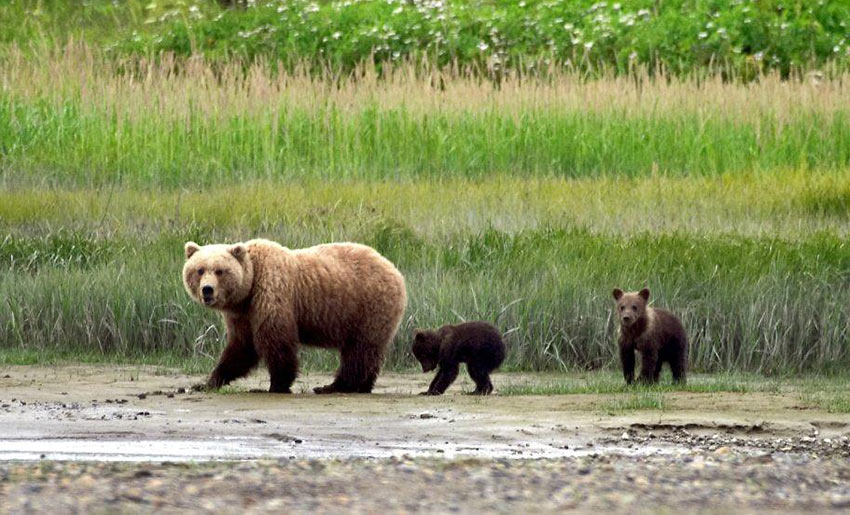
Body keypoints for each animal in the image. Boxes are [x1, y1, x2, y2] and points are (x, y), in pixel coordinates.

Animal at [181, 239, 406, 396]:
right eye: (199, 270)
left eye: (220, 271)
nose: (207, 290)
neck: (249, 288)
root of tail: (395, 270)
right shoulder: (242, 315)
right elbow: (241, 347)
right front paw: (207, 382)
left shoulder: (271, 293)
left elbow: (276, 341)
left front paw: (277, 384)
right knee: (370, 352)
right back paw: (363, 385)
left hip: (368, 307)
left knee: (358, 351)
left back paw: (333, 386)